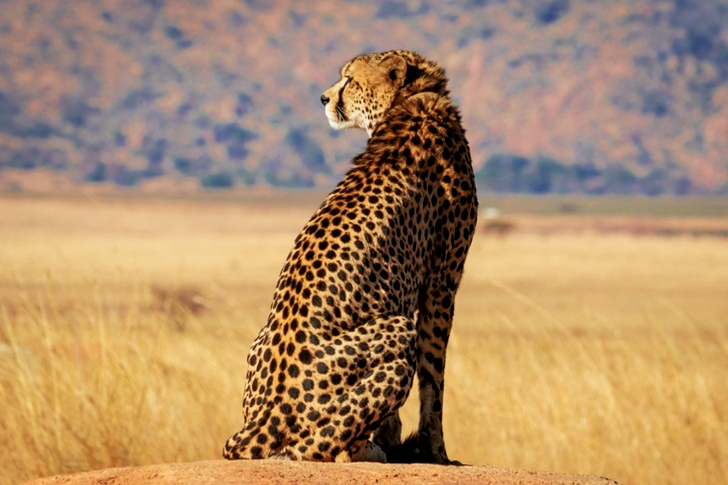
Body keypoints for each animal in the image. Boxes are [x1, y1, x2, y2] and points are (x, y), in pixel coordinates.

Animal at [222, 50, 478, 464]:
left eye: (351, 80)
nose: (323, 98)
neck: (411, 99)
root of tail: (261, 420)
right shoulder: (442, 281)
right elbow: (433, 379)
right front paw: (436, 452)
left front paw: (399, 438)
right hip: (397, 329)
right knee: (317, 449)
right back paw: (368, 451)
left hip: (257, 342)